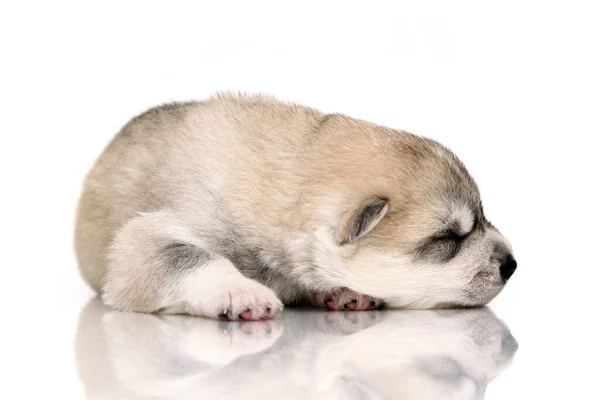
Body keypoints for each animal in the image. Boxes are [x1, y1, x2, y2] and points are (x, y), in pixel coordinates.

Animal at [74, 92, 516, 320]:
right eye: (449, 237)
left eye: (483, 217)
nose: (512, 265)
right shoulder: (148, 238)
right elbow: (188, 256)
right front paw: (240, 291)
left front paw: (343, 290)